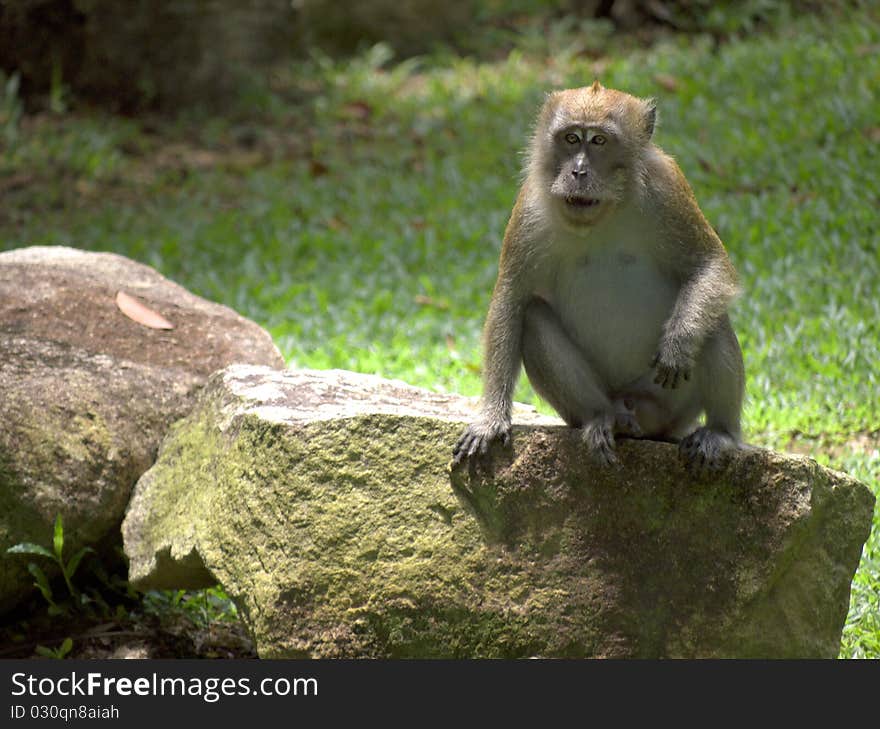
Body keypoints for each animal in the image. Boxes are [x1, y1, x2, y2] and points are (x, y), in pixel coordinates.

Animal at [450, 79, 744, 466]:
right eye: (572, 138)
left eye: (600, 141)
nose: (578, 172)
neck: (605, 212)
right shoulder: (530, 208)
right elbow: (511, 301)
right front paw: (490, 419)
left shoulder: (668, 188)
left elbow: (708, 265)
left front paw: (678, 342)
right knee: (533, 317)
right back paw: (604, 419)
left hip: (672, 406)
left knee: (713, 319)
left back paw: (721, 432)